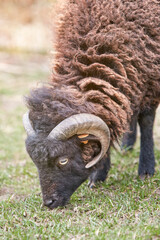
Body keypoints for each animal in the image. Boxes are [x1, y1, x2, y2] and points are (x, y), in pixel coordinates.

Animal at [22, 0, 160, 208]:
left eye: (63, 160)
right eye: (36, 162)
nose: (49, 203)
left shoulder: (151, 76)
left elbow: (146, 121)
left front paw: (146, 169)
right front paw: (98, 175)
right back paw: (127, 144)